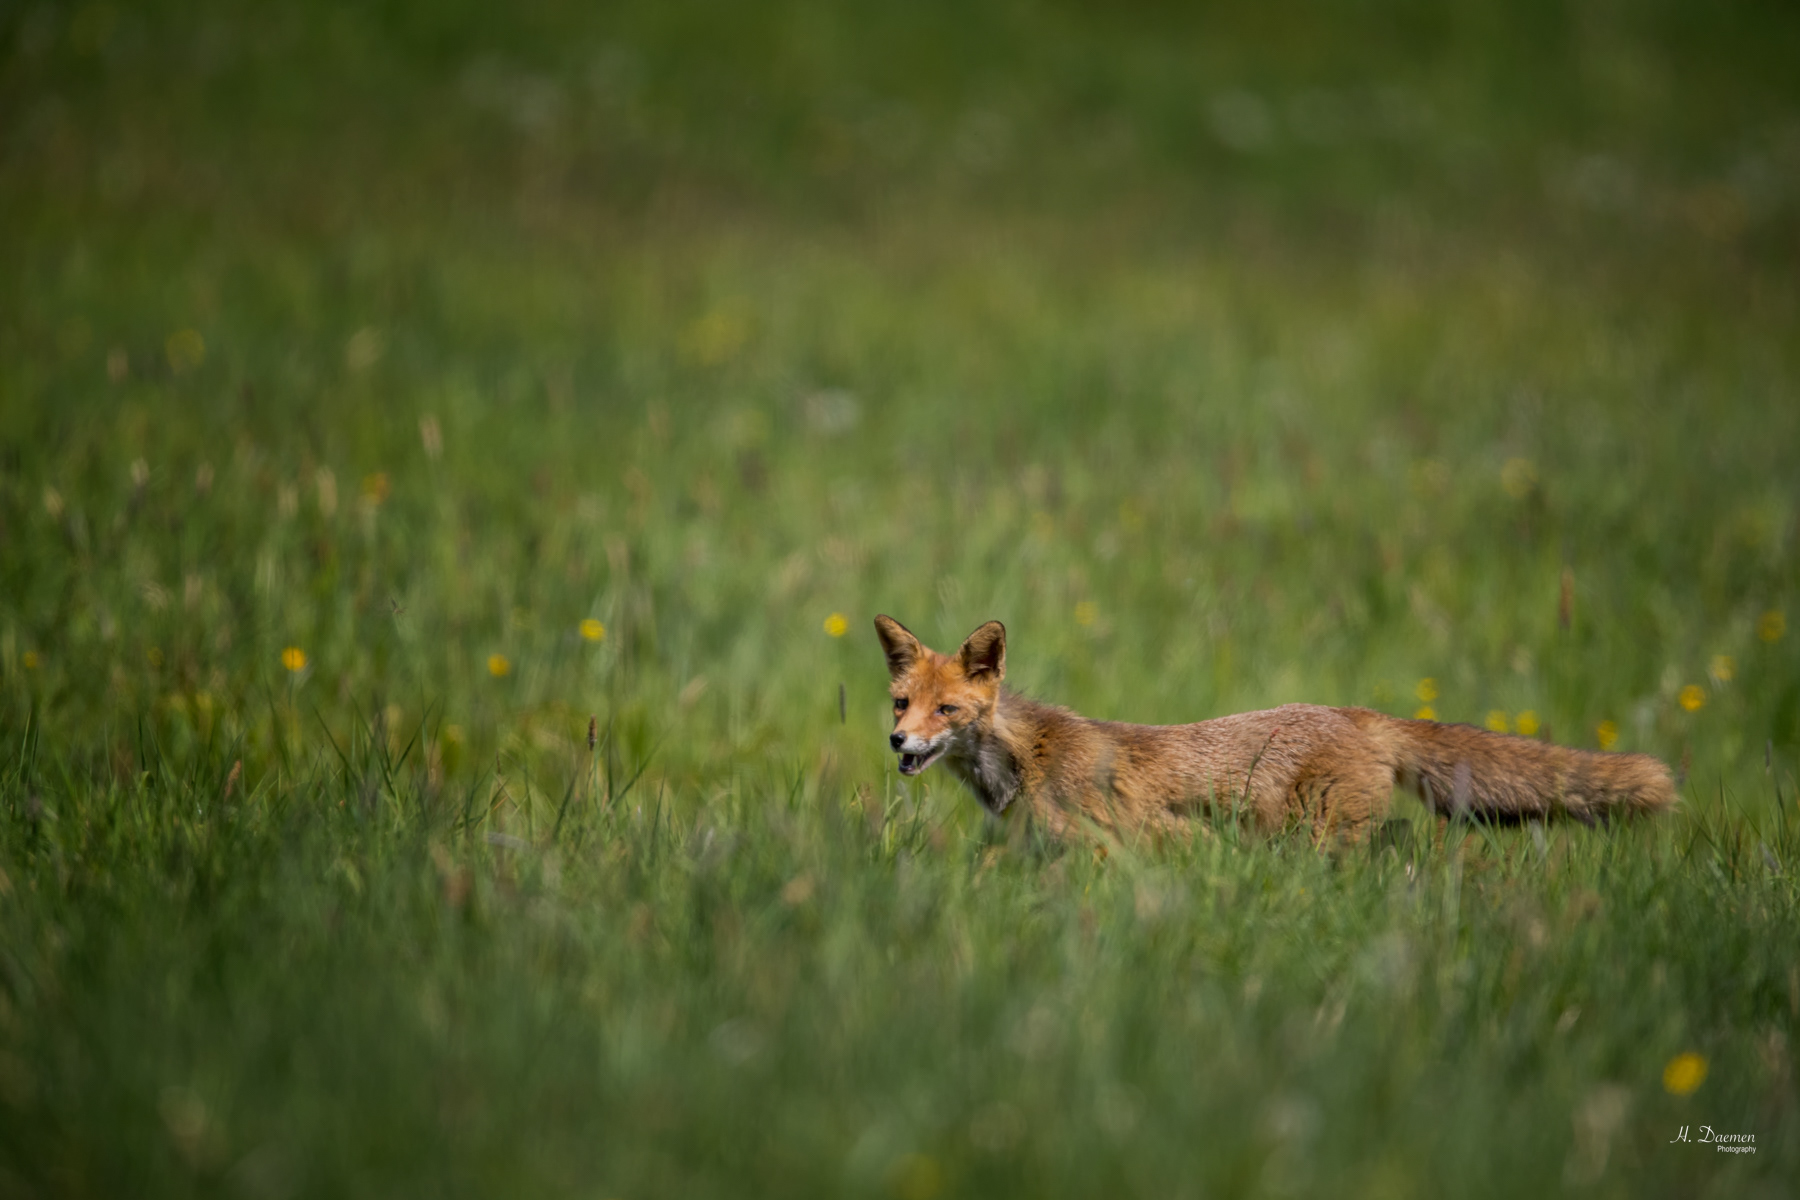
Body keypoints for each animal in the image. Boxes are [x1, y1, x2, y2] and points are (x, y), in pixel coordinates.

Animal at [874, 615, 1677, 842]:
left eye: (947, 711)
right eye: (900, 704)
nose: (898, 743)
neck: (1022, 762)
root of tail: (1352, 712)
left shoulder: (1148, 838)